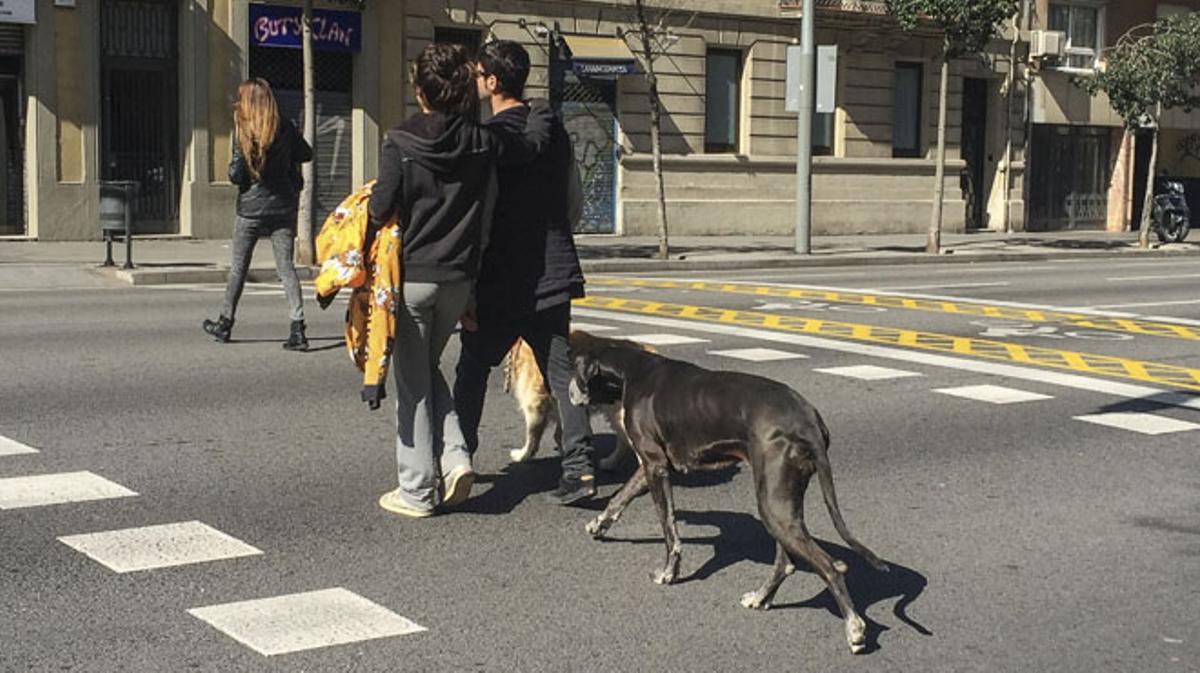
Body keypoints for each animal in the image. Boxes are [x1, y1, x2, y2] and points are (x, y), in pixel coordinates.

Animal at [566, 345, 888, 652]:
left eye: (572, 366)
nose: (568, 393)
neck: (633, 370)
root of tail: (809, 420)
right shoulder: (649, 467)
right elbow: (621, 496)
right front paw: (599, 523)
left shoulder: (656, 466)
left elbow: (669, 530)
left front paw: (669, 572)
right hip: (781, 504)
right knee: (786, 563)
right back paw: (760, 598)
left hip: (772, 503)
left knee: (831, 567)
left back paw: (854, 628)